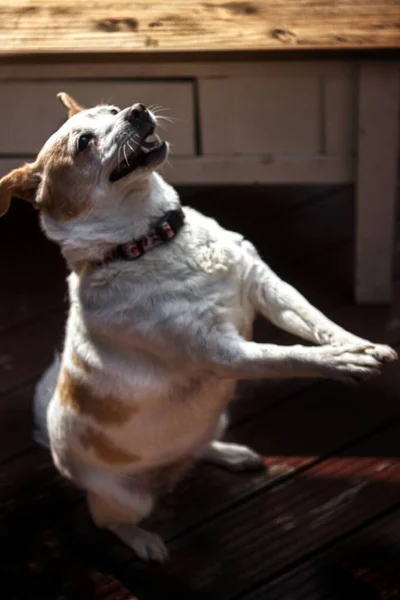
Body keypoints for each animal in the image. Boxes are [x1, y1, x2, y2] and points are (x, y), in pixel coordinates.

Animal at [0, 91, 396, 560]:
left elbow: (319, 322)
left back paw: (230, 454)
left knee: (199, 448)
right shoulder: (223, 352)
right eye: (83, 143)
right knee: (107, 522)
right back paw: (144, 540)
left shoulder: (266, 286)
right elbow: (290, 355)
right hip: (126, 498)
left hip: (213, 422)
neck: (151, 240)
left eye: (113, 111)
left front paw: (362, 346)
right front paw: (344, 363)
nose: (137, 110)